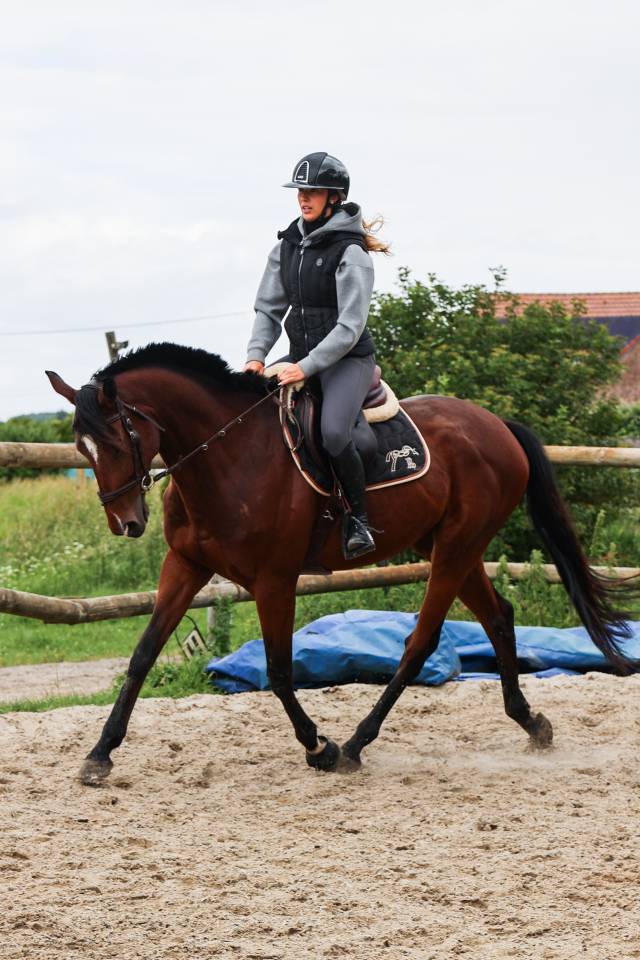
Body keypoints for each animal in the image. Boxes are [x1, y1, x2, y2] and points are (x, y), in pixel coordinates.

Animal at [46, 342, 636, 784]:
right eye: (81, 449)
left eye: (115, 440)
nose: (125, 522)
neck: (228, 457)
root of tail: (496, 425)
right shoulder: (185, 565)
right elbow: (143, 655)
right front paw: (99, 754)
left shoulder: (274, 580)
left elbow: (280, 672)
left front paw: (319, 748)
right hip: (450, 548)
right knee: (498, 617)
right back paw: (531, 723)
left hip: (455, 550)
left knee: (420, 644)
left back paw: (354, 744)